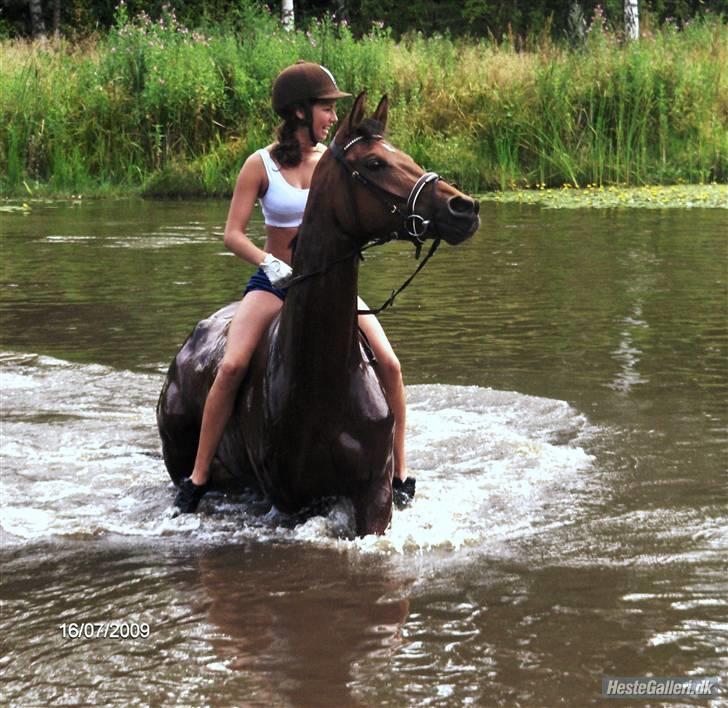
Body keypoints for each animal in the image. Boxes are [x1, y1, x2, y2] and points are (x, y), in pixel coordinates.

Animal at [156, 94, 480, 536]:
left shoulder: (374, 495)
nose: (464, 208)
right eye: (375, 163)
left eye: (407, 157)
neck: (321, 377)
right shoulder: (292, 501)